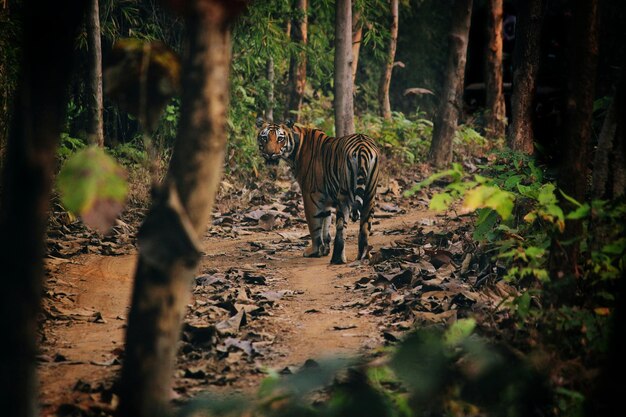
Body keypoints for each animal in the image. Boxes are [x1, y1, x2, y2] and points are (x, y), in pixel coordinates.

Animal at [255, 115, 380, 264]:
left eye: (280, 138)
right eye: (264, 138)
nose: (270, 154)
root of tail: (362, 146)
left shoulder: (310, 195)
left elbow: (314, 225)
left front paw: (314, 251)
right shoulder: (324, 198)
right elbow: (325, 223)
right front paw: (324, 249)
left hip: (344, 197)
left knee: (341, 228)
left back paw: (337, 259)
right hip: (370, 195)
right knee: (364, 229)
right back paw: (364, 256)